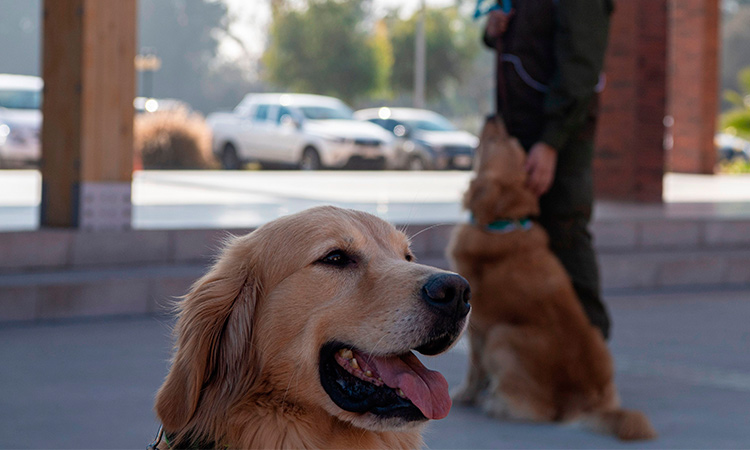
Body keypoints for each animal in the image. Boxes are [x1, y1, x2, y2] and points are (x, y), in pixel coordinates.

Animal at [450, 118, 656, 442]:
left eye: (499, 141)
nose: (494, 116)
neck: (502, 223)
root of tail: (584, 399)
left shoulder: (477, 324)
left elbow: (474, 367)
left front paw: (465, 394)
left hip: (502, 335)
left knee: (538, 411)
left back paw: (496, 403)